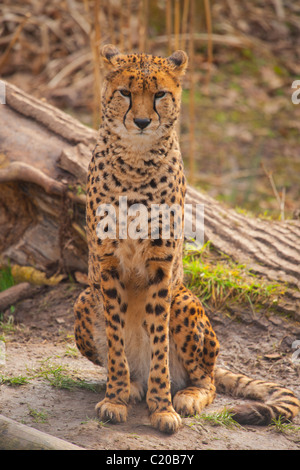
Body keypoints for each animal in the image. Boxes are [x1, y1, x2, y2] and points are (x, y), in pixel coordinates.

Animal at [73, 45, 300, 434]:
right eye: (126, 93)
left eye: (160, 94)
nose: (142, 122)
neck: (135, 160)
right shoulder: (107, 265)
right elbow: (116, 341)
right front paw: (115, 398)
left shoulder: (162, 267)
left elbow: (159, 343)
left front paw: (163, 408)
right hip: (86, 298)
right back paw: (133, 386)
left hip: (183, 300)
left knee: (207, 380)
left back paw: (186, 394)